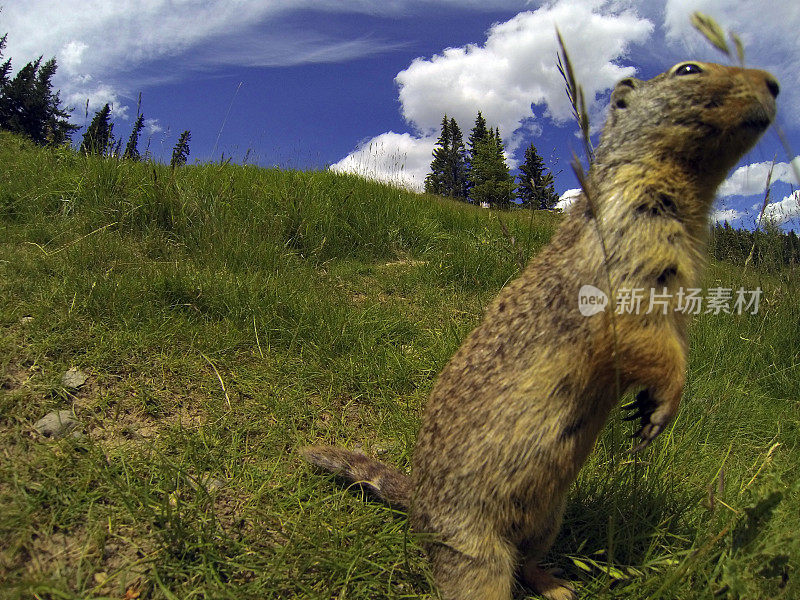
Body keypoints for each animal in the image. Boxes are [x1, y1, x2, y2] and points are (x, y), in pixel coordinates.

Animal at [300, 62, 776, 600]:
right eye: (689, 69)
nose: (775, 85)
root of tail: (418, 504)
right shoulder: (627, 255)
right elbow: (638, 333)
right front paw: (664, 405)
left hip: (548, 517)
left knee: (527, 561)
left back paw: (557, 585)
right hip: (470, 549)